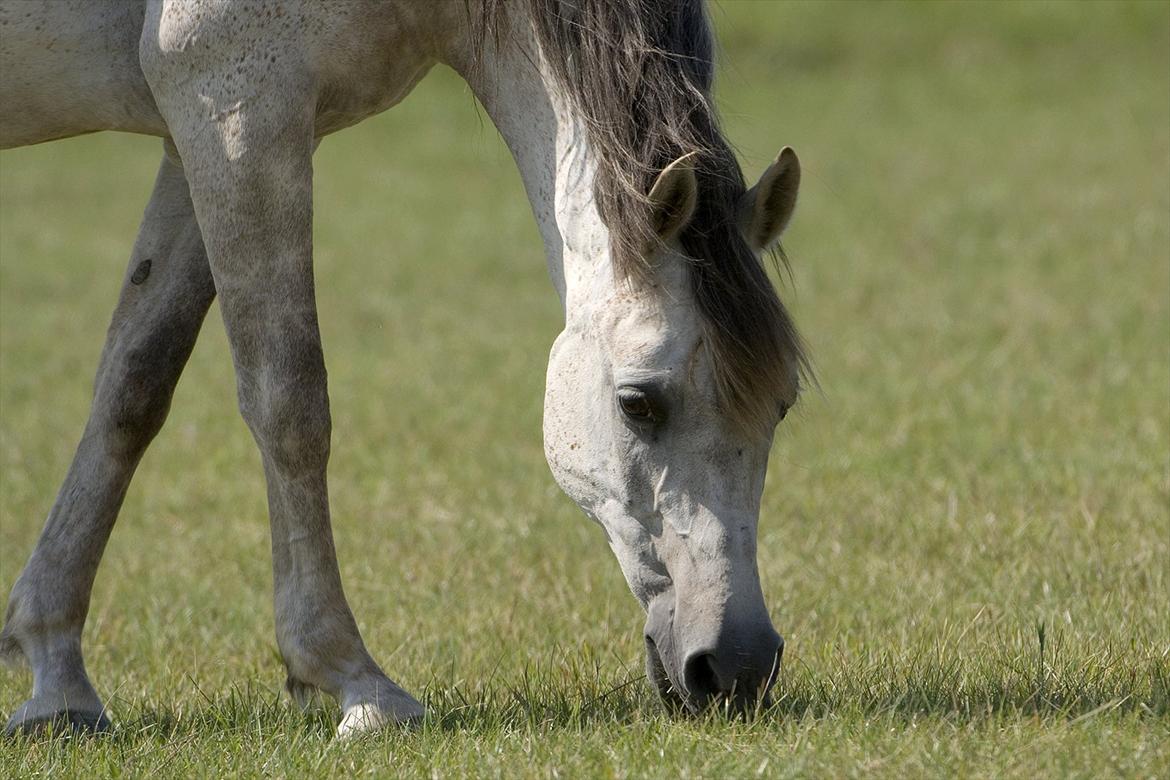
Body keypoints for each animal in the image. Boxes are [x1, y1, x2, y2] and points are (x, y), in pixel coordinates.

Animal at [0, 0, 804, 734]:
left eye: (783, 405)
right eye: (638, 402)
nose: (737, 666)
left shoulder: (196, 132)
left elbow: (133, 386)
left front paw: (58, 681)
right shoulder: (236, 106)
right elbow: (289, 404)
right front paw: (355, 681)